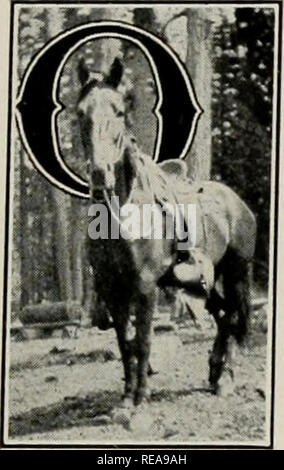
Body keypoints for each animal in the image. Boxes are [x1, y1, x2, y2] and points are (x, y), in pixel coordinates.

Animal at [76, 57, 256, 404]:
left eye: (119, 111)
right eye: (80, 112)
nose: (99, 175)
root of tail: (237, 201)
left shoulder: (145, 286)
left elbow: (143, 340)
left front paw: (141, 397)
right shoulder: (112, 288)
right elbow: (124, 343)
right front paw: (127, 395)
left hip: (236, 271)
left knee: (231, 315)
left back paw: (224, 378)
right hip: (203, 280)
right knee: (222, 314)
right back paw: (215, 372)